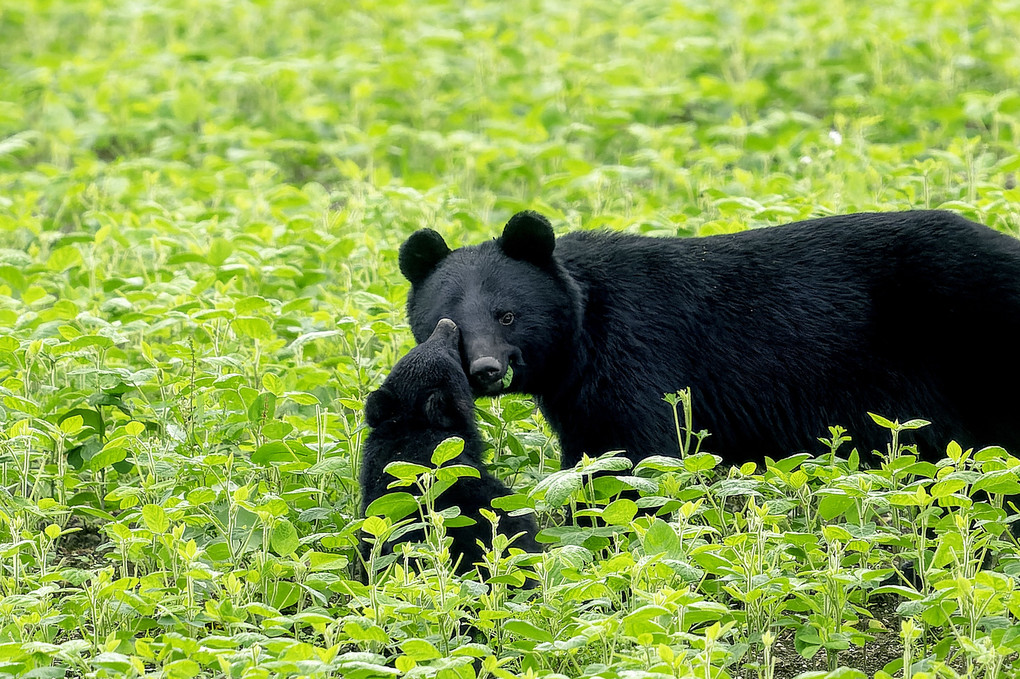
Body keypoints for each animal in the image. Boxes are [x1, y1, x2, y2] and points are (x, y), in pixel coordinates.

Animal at [395, 210, 1020, 464]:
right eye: (448, 324)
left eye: (506, 316)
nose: (486, 371)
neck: (583, 336)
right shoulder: (578, 396)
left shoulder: (640, 357)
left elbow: (639, 452)